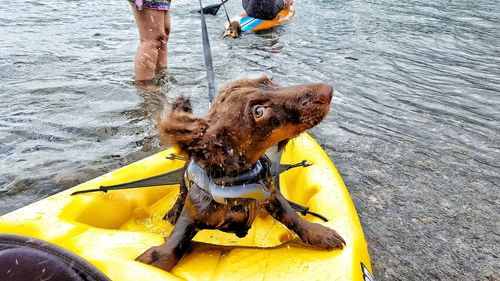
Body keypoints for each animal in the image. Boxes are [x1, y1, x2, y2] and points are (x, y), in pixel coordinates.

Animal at [137, 75, 348, 270]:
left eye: (267, 80)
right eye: (258, 111)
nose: (328, 90)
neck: (238, 184)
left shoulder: (271, 195)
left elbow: (293, 217)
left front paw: (320, 234)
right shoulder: (192, 216)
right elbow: (174, 245)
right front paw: (154, 260)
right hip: (183, 180)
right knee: (181, 195)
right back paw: (173, 212)